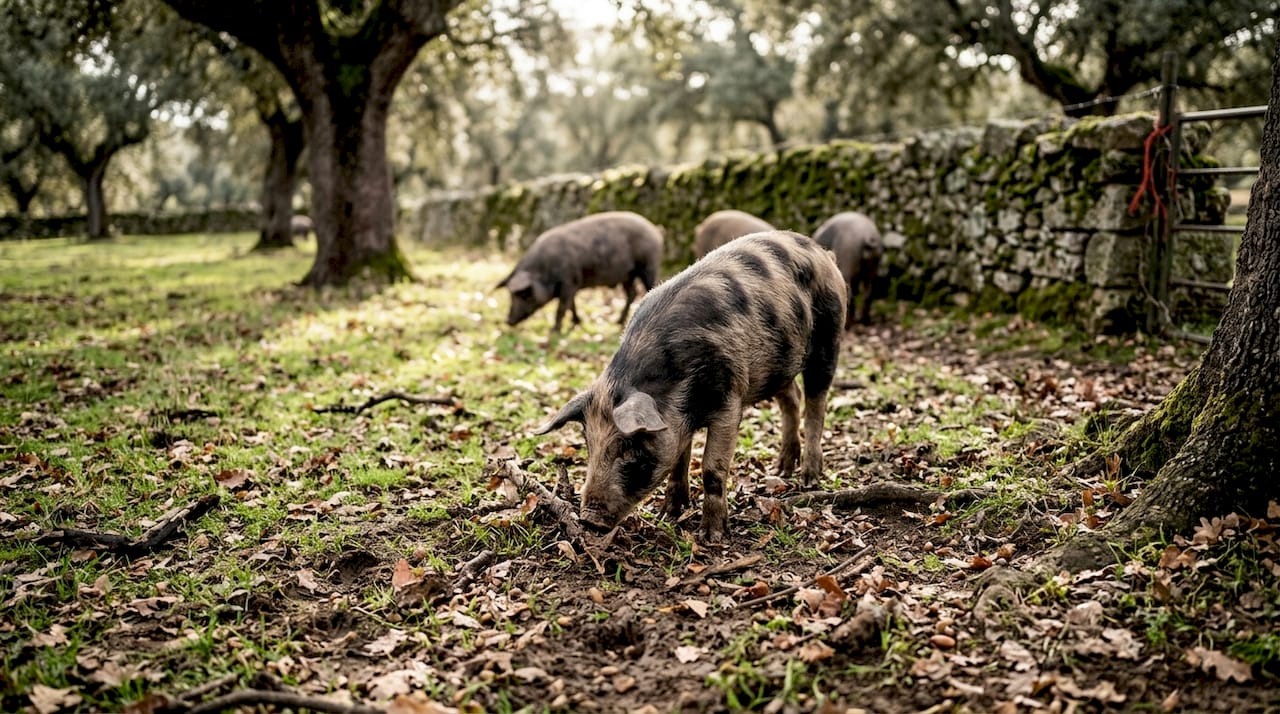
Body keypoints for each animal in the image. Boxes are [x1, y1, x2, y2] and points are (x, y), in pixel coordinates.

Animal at [497, 211, 663, 333]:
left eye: (524, 294)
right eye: (510, 294)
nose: (508, 321)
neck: (545, 270)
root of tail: (654, 230)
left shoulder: (568, 282)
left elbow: (562, 308)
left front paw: (554, 331)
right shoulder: (573, 284)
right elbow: (572, 305)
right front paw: (577, 322)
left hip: (648, 265)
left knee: (648, 287)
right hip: (627, 275)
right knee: (632, 293)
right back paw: (618, 322)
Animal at [535, 231, 848, 542]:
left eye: (630, 447)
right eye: (589, 445)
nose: (589, 519)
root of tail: (824, 254)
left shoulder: (729, 401)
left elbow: (712, 469)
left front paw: (711, 536)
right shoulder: (676, 422)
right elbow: (677, 461)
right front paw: (667, 515)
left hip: (828, 340)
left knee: (816, 404)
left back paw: (809, 479)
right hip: (778, 365)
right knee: (792, 398)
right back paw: (781, 469)